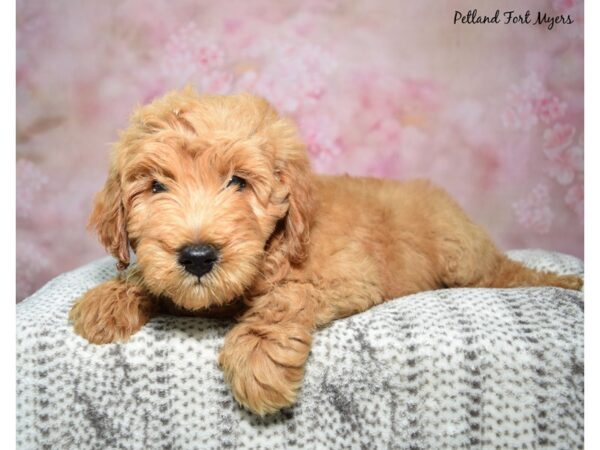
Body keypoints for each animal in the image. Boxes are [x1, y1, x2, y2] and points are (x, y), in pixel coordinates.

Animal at [69, 87, 580, 414]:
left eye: (238, 182)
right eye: (156, 187)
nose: (197, 256)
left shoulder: (348, 277)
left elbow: (286, 297)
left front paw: (257, 358)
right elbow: (151, 277)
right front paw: (109, 299)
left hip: (463, 255)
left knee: (504, 271)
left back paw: (557, 279)